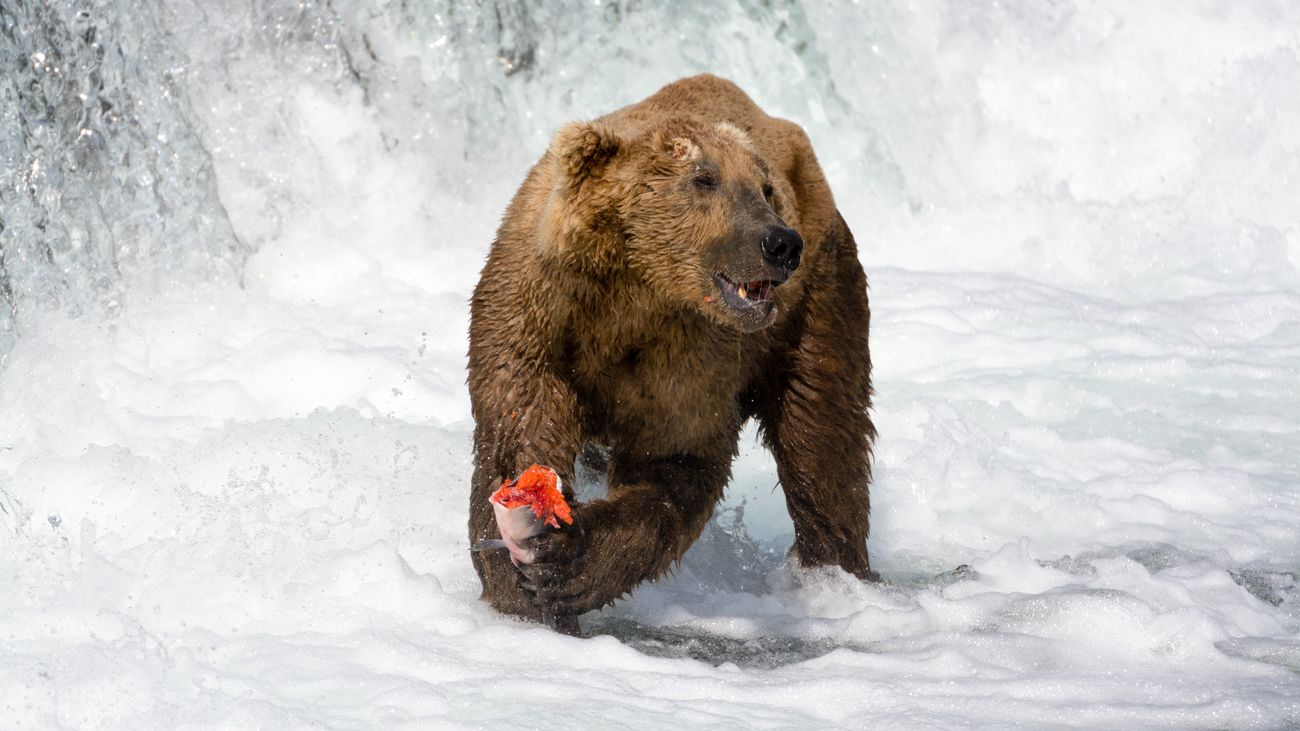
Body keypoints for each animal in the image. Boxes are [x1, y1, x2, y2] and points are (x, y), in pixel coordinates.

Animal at [468, 74, 876, 633]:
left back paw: (836, 573)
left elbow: (673, 458)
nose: (780, 243)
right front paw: (516, 586)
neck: (632, 290)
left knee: (822, 433)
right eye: (704, 179)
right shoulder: (540, 310)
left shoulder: (687, 351)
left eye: (765, 188)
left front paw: (563, 564)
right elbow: (516, 427)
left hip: (816, 299)